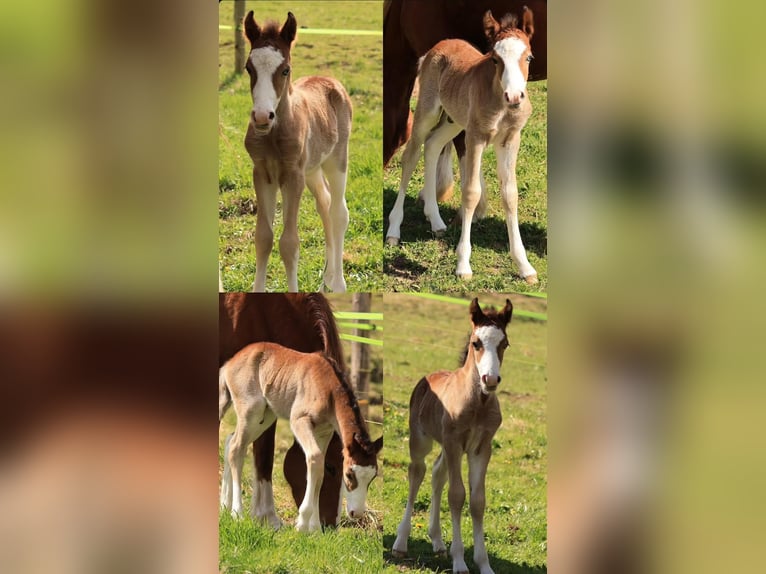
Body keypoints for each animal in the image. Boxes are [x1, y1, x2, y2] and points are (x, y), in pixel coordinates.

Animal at [219, 342, 383, 532]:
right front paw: (302, 524)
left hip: (265, 416)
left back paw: (225, 506)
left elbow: (319, 471)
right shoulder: (299, 420)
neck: (329, 389)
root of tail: (229, 363)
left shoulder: (323, 432)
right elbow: (314, 458)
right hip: (251, 411)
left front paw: (316, 528)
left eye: (373, 477)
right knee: (236, 448)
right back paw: (237, 513)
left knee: (231, 441)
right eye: (349, 474)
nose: (356, 513)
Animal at [243, 11, 351, 292]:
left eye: (285, 70)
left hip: (336, 161)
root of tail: (331, 80)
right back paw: (327, 279)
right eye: (249, 68)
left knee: (338, 212)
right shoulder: (262, 174)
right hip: (311, 170)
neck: (274, 135)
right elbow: (263, 238)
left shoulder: (293, 176)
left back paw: (339, 283)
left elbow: (289, 243)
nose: (262, 116)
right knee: (324, 203)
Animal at [386, 11, 538, 283]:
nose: (514, 97)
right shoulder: (475, 137)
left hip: (453, 120)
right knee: (411, 155)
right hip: (428, 112)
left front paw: (524, 266)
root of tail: (439, 46)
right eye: (495, 59)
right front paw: (463, 264)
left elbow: (510, 195)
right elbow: (470, 192)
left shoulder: (511, 139)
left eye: (528, 57)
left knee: (433, 145)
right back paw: (394, 230)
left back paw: (436, 221)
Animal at [391, 297, 513, 574]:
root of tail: (427, 378)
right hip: (422, 441)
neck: (477, 404)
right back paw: (401, 542)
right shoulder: (455, 442)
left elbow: (477, 501)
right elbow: (457, 495)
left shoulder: (481, 447)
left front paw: (484, 564)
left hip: (448, 448)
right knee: (417, 473)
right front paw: (459, 562)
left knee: (437, 475)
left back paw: (437, 542)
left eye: (504, 344)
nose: (490, 379)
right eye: (476, 343)